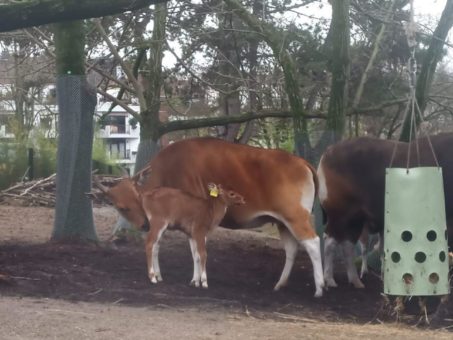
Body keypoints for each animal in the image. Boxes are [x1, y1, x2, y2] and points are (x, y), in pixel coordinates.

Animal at [93, 137, 324, 296]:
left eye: (124, 207)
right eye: (118, 207)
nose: (143, 224)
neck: (169, 168)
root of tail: (303, 163)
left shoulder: (193, 221)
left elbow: (196, 251)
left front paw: (198, 280)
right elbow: (169, 247)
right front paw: (166, 276)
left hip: (296, 217)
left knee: (313, 242)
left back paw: (320, 287)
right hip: (282, 221)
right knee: (292, 249)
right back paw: (280, 284)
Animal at [318, 134, 452, 288]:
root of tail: (327, 153)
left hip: (355, 218)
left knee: (347, 245)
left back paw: (355, 280)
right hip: (342, 214)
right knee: (331, 242)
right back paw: (330, 279)